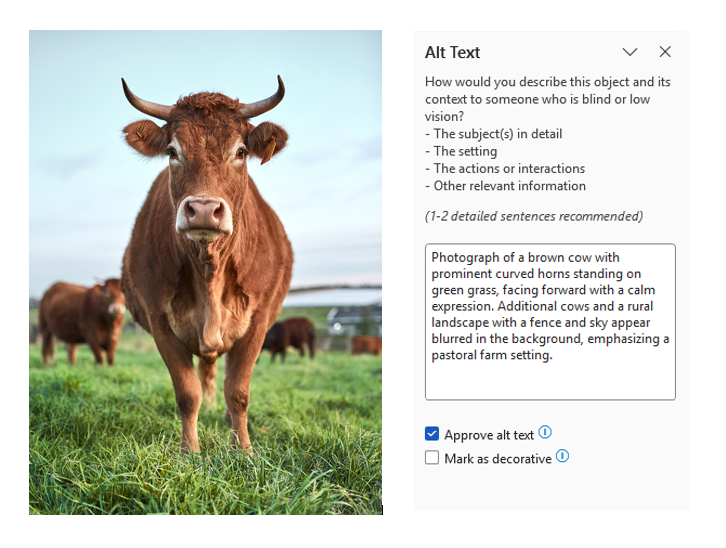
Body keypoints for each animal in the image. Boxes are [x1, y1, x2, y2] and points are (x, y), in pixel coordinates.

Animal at [120, 77, 293, 454]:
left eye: (240, 152)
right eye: (172, 152)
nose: (202, 209)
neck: (208, 268)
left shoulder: (258, 322)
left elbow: (238, 392)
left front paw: (244, 451)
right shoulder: (159, 320)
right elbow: (188, 394)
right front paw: (190, 452)